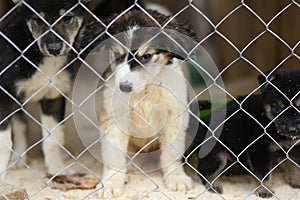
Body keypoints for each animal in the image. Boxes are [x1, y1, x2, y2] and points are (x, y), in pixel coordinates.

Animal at [0, 0, 91, 179]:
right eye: (38, 21)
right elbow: (4, 144)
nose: (54, 49)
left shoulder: (54, 97)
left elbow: (54, 138)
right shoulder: (5, 99)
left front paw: (56, 168)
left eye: (67, 18)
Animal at [191, 69, 298, 198]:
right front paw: (264, 190)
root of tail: (202, 123)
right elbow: (263, 174)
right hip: (216, 155)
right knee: (204, 171)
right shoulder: (259, 150)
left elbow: (294, 167)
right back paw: (213, 186)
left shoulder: (294, 148)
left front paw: (296, 182)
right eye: (278, 109)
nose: (292, 130)